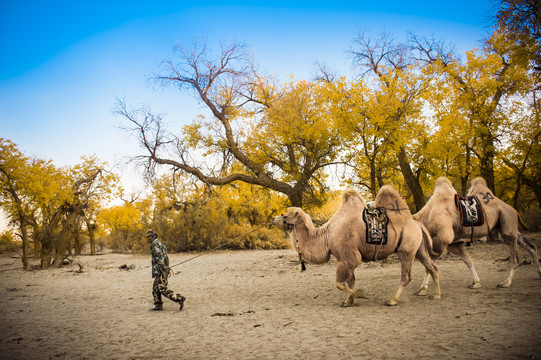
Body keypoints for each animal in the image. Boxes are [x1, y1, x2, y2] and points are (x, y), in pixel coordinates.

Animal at [272, 186, 440, 306]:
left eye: (285, 215)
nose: (273, 218)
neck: (328, 235)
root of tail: (415, 222)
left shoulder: (349, 256)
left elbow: (339, 283)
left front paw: (360, 294)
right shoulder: (344, 258)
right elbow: (350, 281)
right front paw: (349, 301)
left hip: (406, 249)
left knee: (407, 275)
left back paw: (392, 300)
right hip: (419, 248)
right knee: (432, 267)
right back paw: (436, 295)